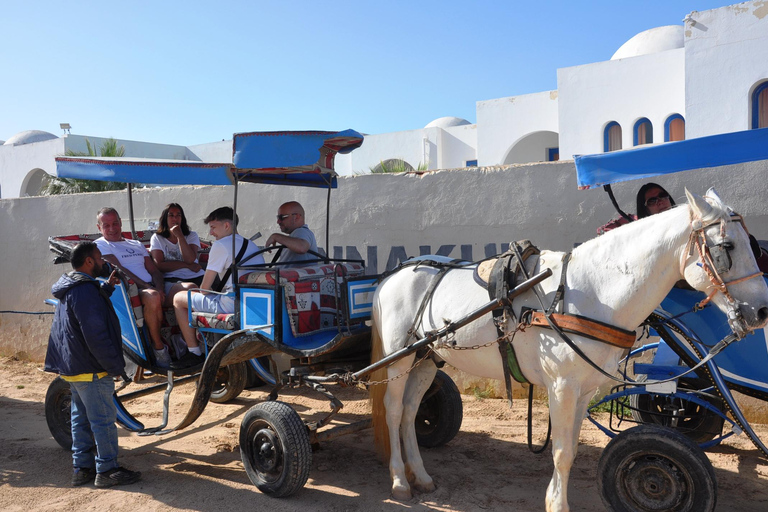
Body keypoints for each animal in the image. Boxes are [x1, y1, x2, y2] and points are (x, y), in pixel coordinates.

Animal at [368, 190, 768, 512]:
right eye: (727, 247)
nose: (762, 311)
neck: (591, 290)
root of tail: (392, 276)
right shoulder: (561, 386)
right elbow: (560, 452)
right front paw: (557, 505)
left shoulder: (585, 388)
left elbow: (572, 449)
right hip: (400, 358)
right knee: (393, 410)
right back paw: (399, 481)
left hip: (426, 359)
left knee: (410, 413)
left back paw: (420, 475)